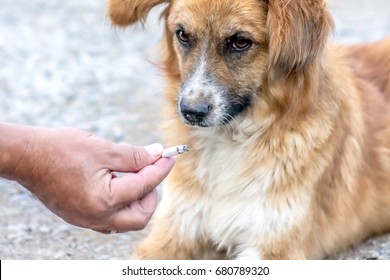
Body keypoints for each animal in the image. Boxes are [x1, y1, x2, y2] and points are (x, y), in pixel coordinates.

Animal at [108, 0, 390, 260]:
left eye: (241, 42)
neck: (231, 138)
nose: (191, 112)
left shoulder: (274, 245)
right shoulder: (175, 230)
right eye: (183, 35)